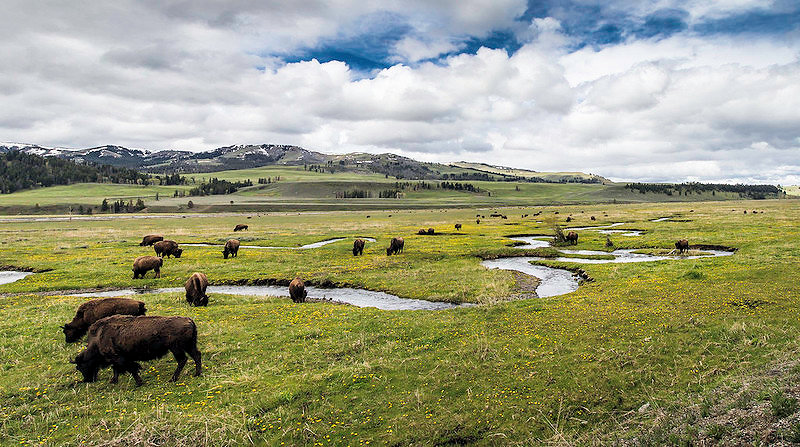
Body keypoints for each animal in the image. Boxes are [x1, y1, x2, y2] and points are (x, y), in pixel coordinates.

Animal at [72, 315, 201, 386]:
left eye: (81, 366)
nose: (88, 380)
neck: (98, 338)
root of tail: (190, 321)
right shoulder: (118, 360)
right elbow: (117, 369)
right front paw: (113, 381)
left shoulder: (120, 358)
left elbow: (131, 369)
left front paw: (139, 383)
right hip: (188, 346)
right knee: (196, 355)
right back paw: (197, 374)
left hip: (176, 348)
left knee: (182, 360)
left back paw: (173, 379)